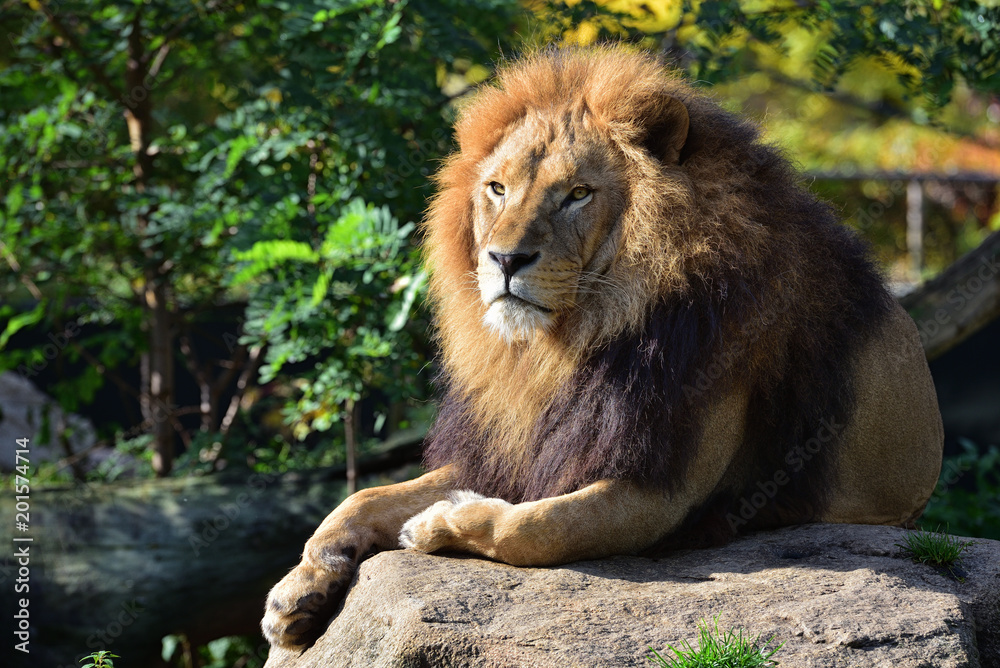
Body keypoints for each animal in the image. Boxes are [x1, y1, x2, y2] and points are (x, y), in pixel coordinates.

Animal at [262, 46, 943, 648]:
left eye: (578, 194)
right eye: (497, 189)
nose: (504, 259)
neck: (564, 343)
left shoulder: (660, 491)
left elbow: (531, 527)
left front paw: (438, 523)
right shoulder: (520, 446)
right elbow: (362, 498)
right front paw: (300, 590)